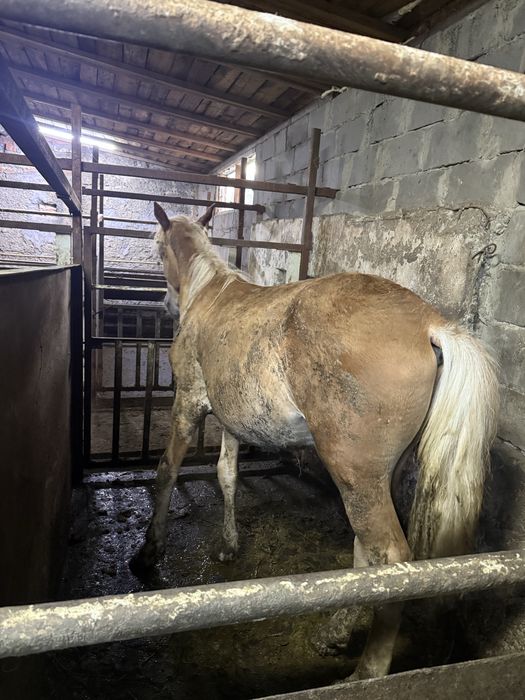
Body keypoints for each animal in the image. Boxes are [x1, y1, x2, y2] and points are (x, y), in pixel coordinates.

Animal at [131, 202, 499, 680]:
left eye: (158, 249)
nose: (167, 304)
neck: (209, 293)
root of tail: (428, 323)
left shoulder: (188, 405)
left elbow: (166, 474)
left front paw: (148, 552)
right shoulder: (231, 421)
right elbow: (226, 475)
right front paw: (229, 545)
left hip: (354, 473)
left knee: (389, 556)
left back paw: (366, 671)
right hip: (373, 478)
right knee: (366, 552)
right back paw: (334, 632)